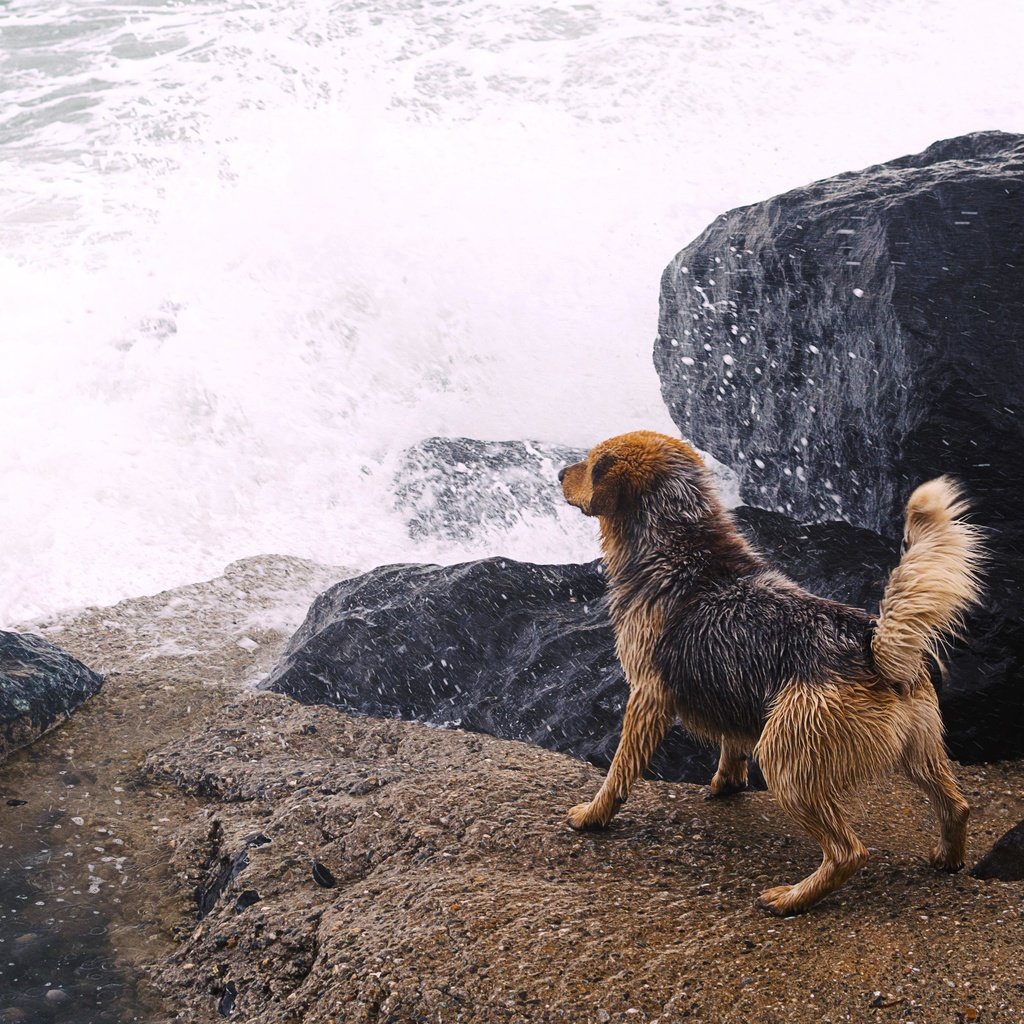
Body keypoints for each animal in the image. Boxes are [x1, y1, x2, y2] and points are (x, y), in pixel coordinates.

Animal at [561, 428, 983, 917]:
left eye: (591, 464)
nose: (559, 473)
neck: (678, 542)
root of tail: (872, 646)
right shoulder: (729, 686)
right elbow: (730, 744)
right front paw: (726, 784)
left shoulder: (647, 695)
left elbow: (619, 769)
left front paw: (594, 815)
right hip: (920, 748)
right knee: (956, 806)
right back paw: (947, 859)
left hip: (787, 758)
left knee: (849, 852)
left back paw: (792, 898)